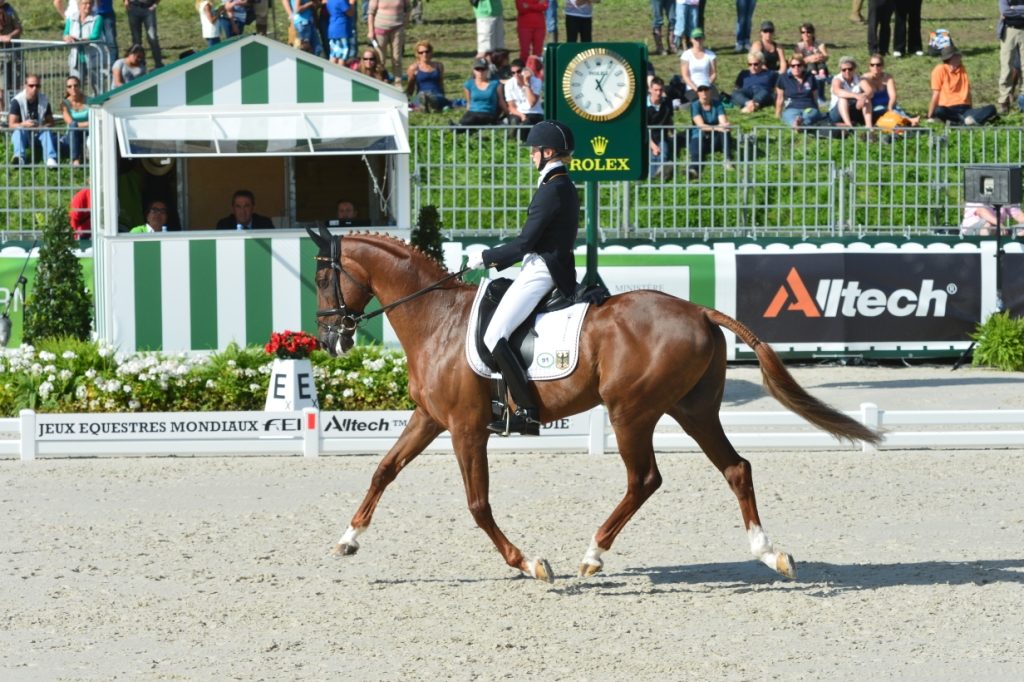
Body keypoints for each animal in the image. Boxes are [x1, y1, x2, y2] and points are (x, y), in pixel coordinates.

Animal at [309, 231, 880, 581]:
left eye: (320, 278)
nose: (330, 340)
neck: (438, 320)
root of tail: (697, 308)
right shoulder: (431, 419)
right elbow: (384, 470)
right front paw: (347, 540)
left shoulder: (466, 428)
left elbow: (477, 504)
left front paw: (529, 563)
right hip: (693, 411)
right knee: (736, 468)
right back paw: (770, 554)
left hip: (632, 412)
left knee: (644, 479)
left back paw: (592, 555)